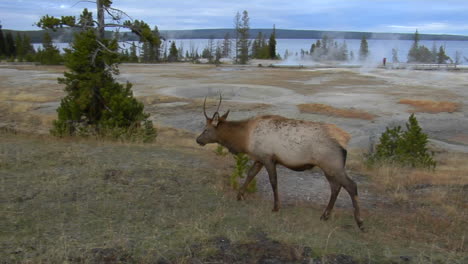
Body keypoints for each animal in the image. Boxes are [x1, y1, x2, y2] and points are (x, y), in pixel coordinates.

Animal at [196, 96, 364, 230]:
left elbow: (273, 181)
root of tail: (345, 139)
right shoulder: (259, 158)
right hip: (328, 167)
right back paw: (325, 215)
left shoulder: (268, 157)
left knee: (351, 185)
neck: (244, 140)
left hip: (332, 164)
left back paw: (360, 222)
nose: (198, 140)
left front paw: (276, 207)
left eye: (206, 129)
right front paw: (239, 195)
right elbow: (250, 175)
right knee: (336, 187)